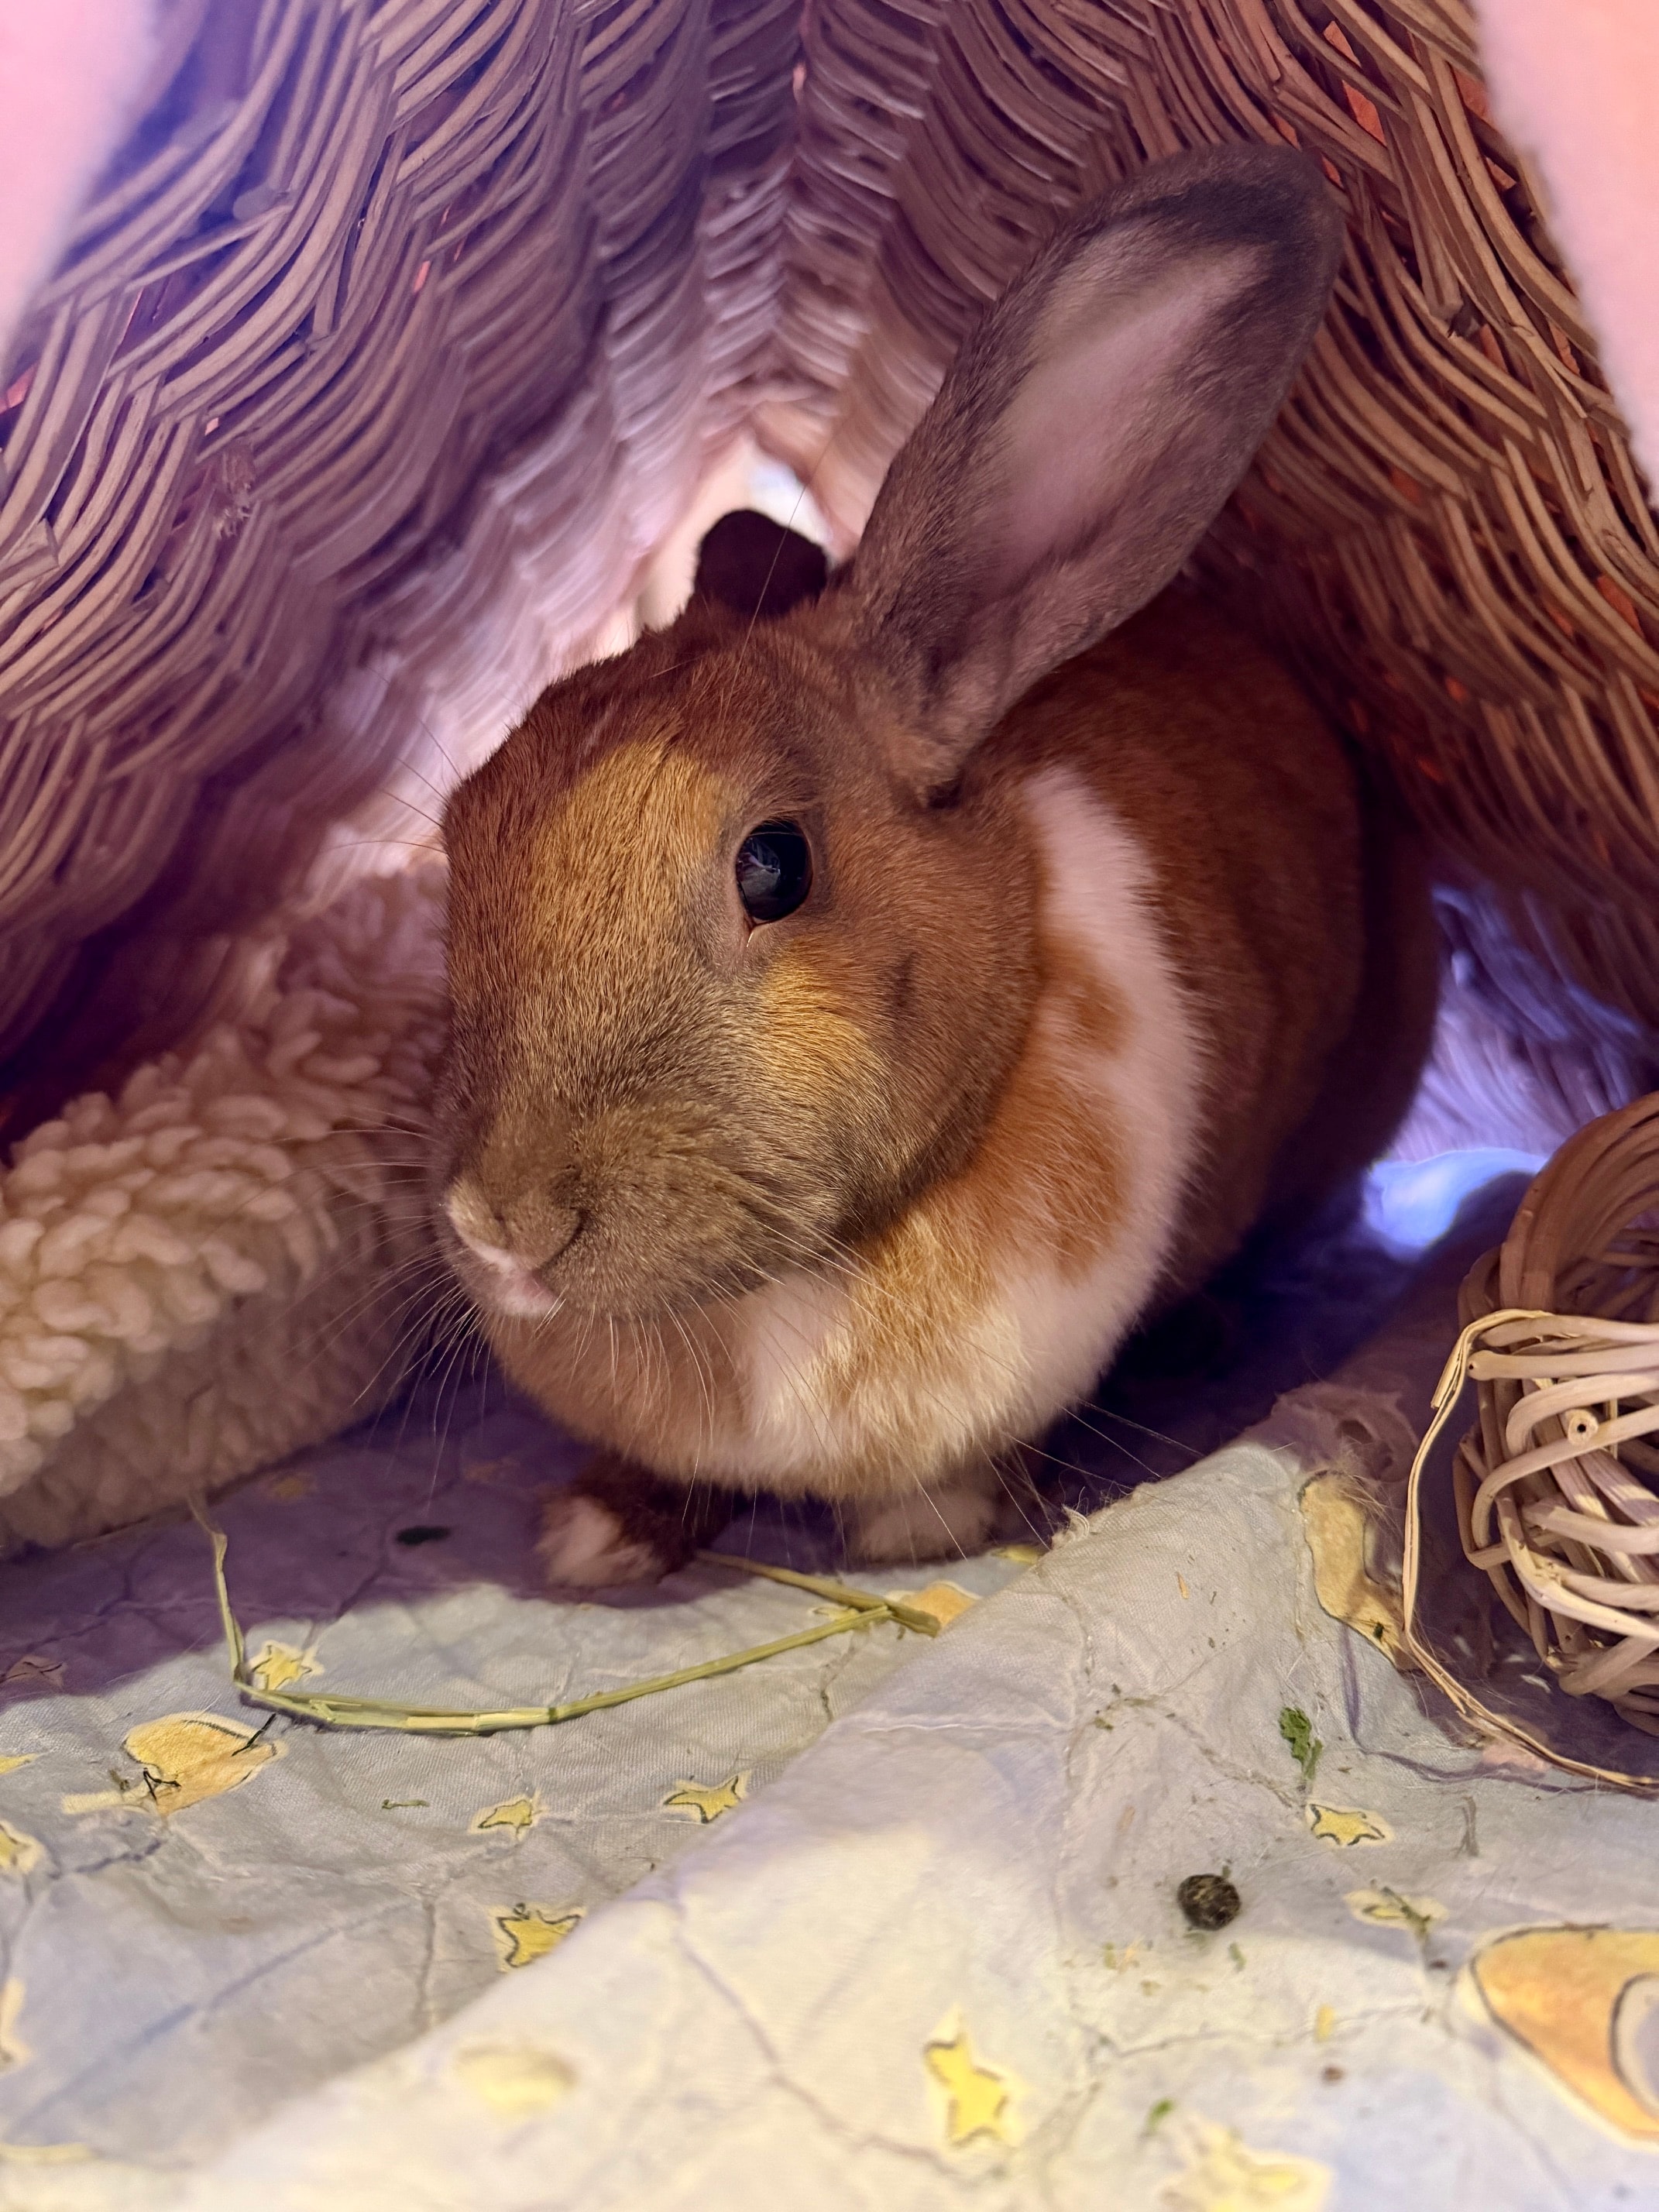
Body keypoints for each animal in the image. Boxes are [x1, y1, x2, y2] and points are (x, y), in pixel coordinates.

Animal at [434, 145, 1439, 1588]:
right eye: (459, 834)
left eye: (773, 869)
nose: (500, 1230)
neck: (790, 1292)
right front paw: (599, 1533)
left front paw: (927, 1528)